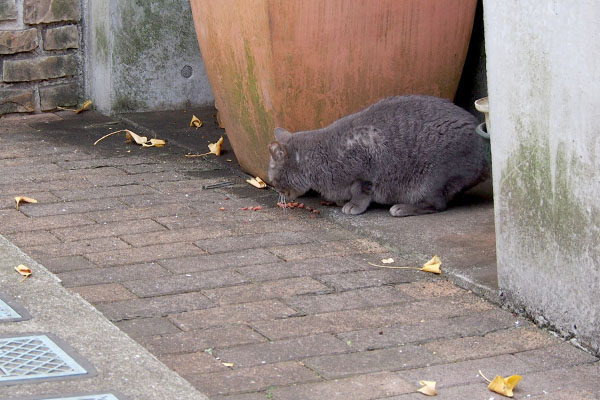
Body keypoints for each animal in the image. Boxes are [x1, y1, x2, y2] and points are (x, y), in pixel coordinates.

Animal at [270, 94, 490, 216]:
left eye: (273, 180)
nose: (276, 190)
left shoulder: (365, 170)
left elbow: (361, 192)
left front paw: (352, 206)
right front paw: (340, 201)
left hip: (431, 180)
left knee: (437, 204)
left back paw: (401, 208)